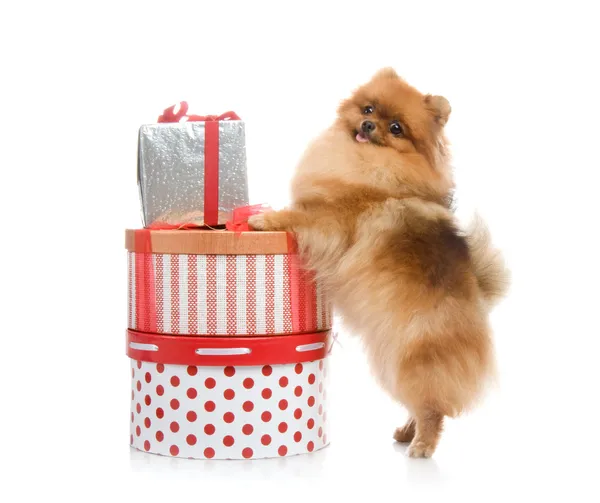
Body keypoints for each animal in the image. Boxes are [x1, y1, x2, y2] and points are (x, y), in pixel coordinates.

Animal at [251, 67, 508, 456]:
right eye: (368, 108)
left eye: (397, 128)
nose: (369, 125)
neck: (371, 165)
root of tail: (480, 299)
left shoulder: (331, 219)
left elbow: (298, 215)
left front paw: (266, 219)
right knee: (421, 403)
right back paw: (407, 432)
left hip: (413, 358)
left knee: (433, 407)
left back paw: (422, 444)